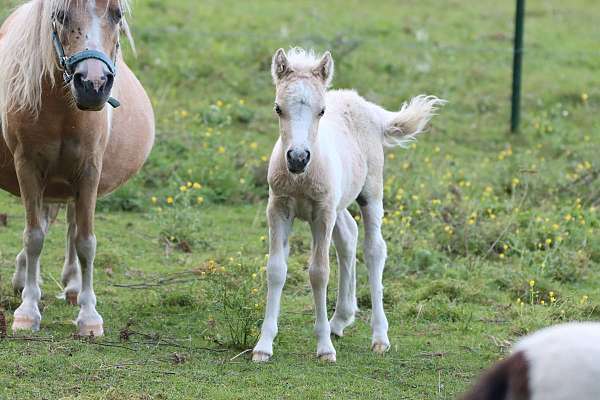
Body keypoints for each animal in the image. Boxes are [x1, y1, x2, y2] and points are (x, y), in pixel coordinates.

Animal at [0, 1, 155, 336]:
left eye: (117, 15)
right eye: (60, 15)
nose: (93, 84)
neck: (62, 109)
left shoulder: (88, 171)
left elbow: (85, 241)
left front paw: (89, 316)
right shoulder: (27, 167)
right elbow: (34, 237)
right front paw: (27, 311)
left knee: (71, 224)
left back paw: (72, 286)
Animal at [253, 47, 446, 362]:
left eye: (321, 111)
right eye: (278, 108)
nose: (297, 158)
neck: (302, 178)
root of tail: (367, 107)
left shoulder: (322, 212)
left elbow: (319, 273)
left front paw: (324, 349)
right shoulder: (279, 208)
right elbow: (276, 270)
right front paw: (263, 345)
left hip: (371, 193)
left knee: (374, 249)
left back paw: (379, 336)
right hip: (340, 203)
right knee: (348, 237)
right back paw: (340, 319)